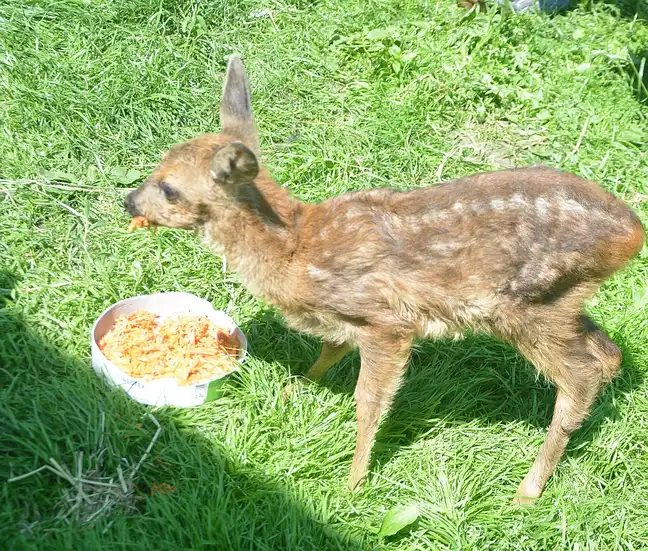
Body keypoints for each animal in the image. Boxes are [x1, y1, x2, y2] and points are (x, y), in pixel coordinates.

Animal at [125, 56, 644, 504]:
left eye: (170, 189)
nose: (129, 201)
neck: (295, 249)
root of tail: (632, 234)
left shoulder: (386, 321)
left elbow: (369, 401)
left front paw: (352, 483)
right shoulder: (344, 320)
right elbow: (328, 350)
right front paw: (295, 391)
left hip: (528, 305)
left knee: (580, 376)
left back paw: (527, 491)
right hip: (563, 302)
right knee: (608, 354)